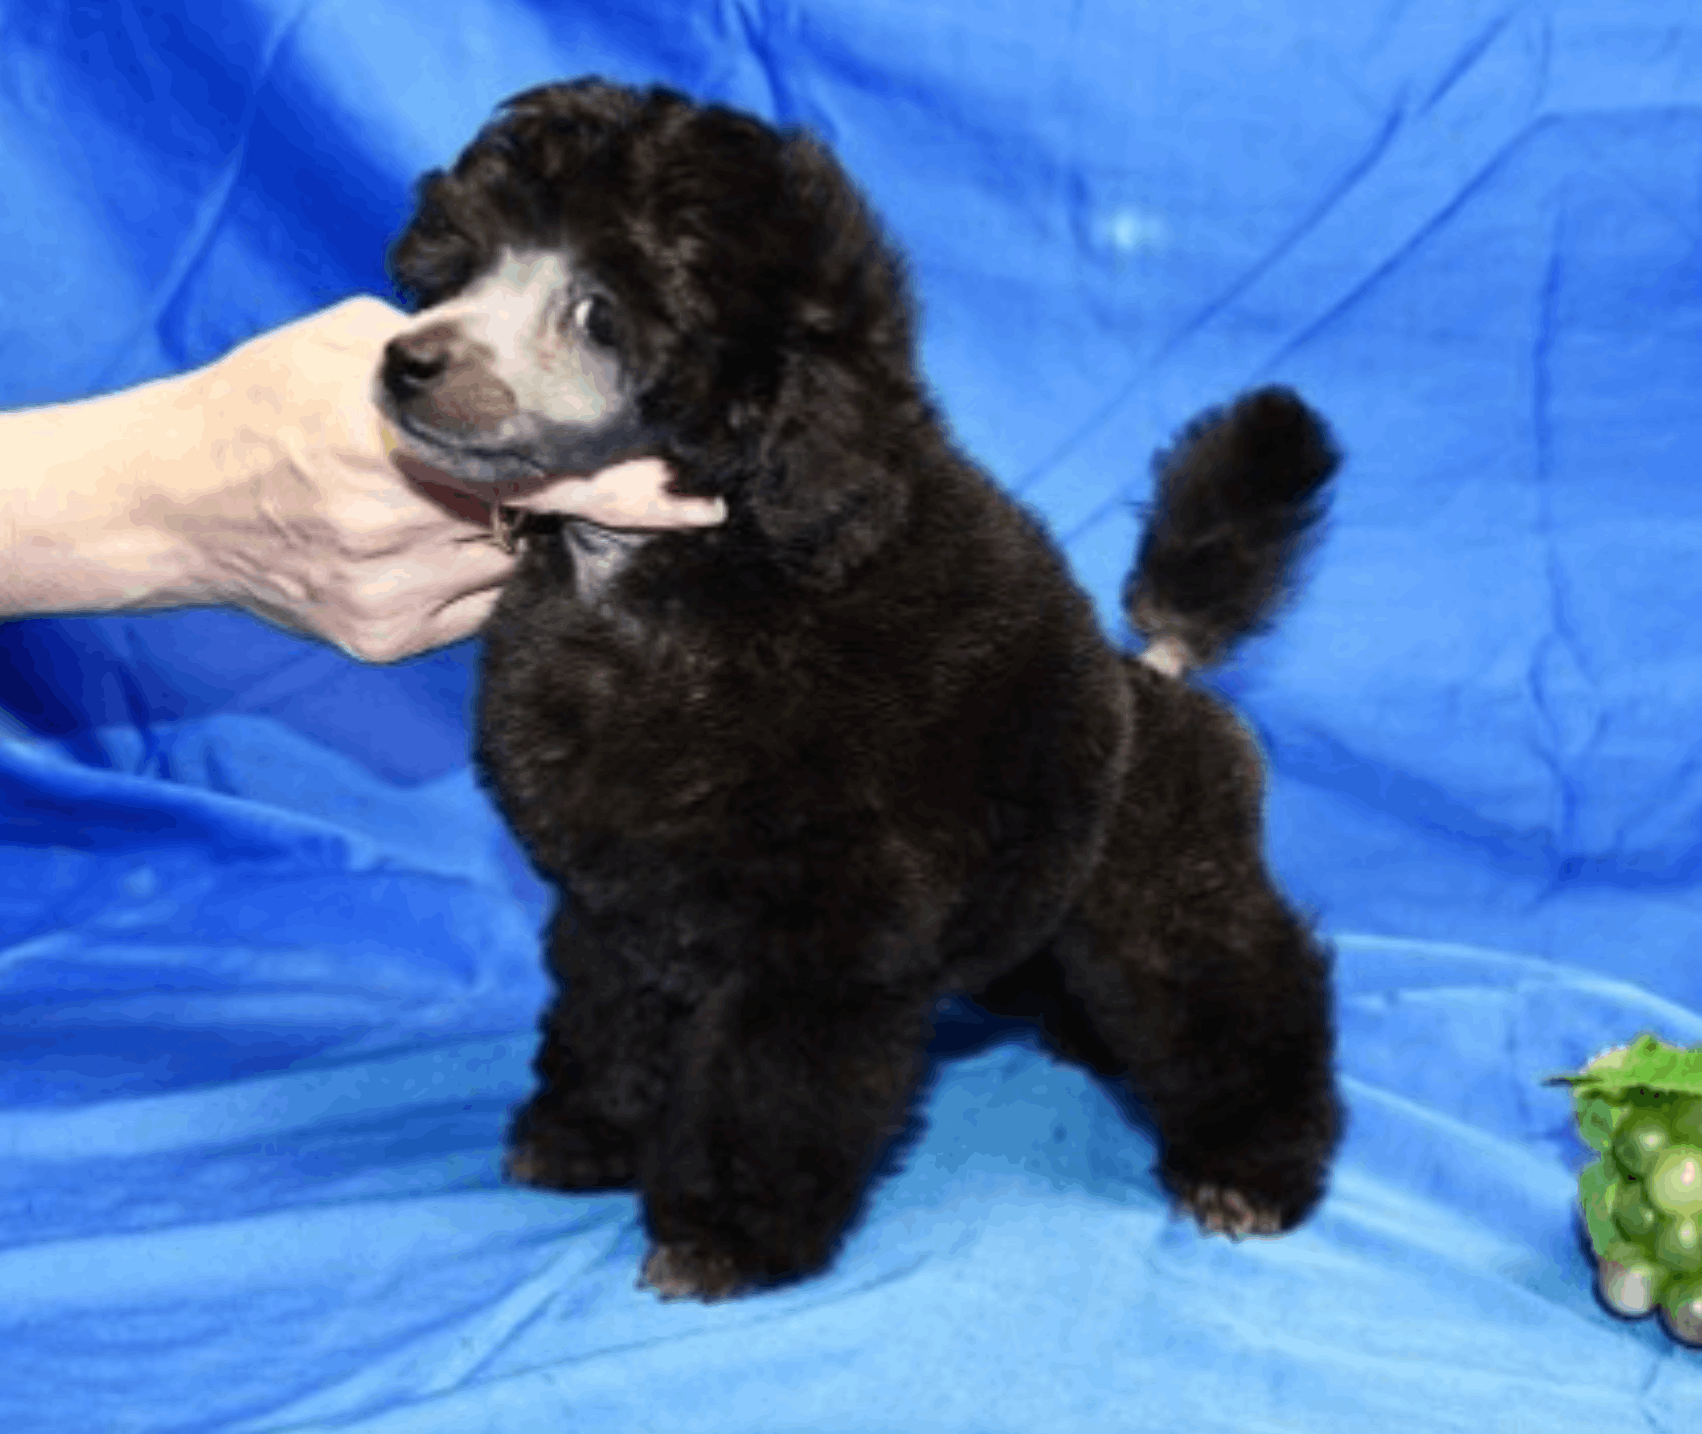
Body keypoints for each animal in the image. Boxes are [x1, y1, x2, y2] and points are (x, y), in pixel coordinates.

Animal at [379, 78, 1344, 1301]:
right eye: (468, 267)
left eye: (600, 315)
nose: (406, 360)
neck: (659, 579)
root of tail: (1152, 678)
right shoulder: (615, 905)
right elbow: (608, 1023)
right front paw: (585, 1136)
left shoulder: (820, 937)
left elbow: (767, 1087)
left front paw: (724, 1235)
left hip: (1167, 888)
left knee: (1238, 999)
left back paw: (1250, 1168)